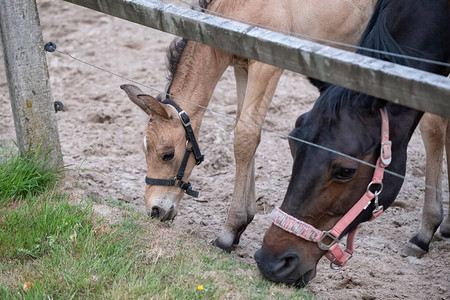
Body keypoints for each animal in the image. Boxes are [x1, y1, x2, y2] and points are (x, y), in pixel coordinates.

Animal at [120, 0, 376, 253]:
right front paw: (243, 223)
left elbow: (245, 137)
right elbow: (244, 127)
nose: (155, 211)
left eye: (167, 154)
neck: (234, 9)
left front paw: (228, 231)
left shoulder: (266, 67)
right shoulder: (242, 67)